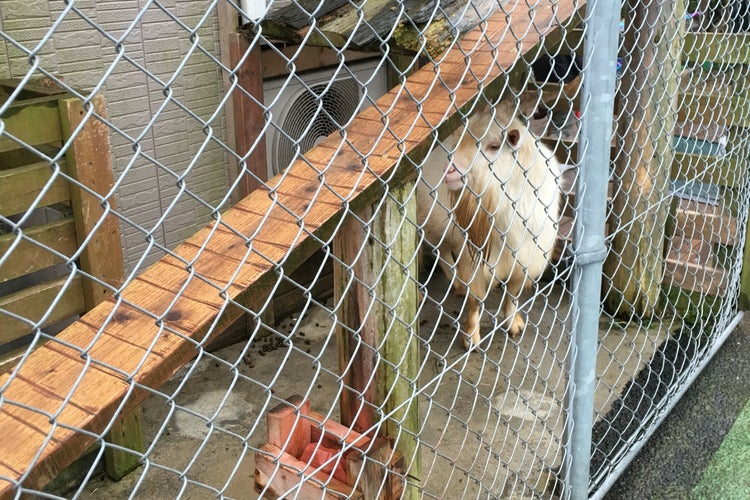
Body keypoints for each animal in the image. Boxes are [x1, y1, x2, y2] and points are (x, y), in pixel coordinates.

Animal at [420, 107, 560, 350]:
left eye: (494, 146)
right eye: (459, 143)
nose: (449, 170)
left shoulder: (526, 257)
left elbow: (513, 294)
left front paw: (514, 324)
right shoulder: (473, 257)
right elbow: (476, 299)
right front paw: (471, 337)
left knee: (444, 250)